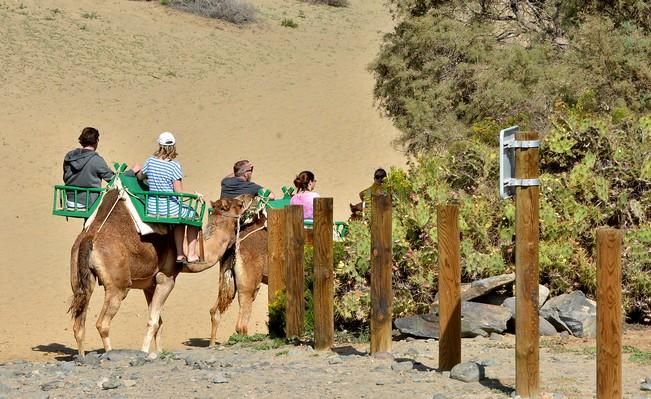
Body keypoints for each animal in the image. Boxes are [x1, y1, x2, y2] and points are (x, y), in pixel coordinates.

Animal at [67, 189, 248, 358]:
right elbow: (153, 322)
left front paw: (159, 352)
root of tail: (89, 238)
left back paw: (82, 357)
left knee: (78, 324)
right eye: (239, 204)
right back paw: (110, 353)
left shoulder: (149, 285)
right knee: (102, 323)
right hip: (118, 286)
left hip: (80, 280)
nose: (249, 196)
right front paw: (145, 352)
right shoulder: (166, 279)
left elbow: (159, 322)